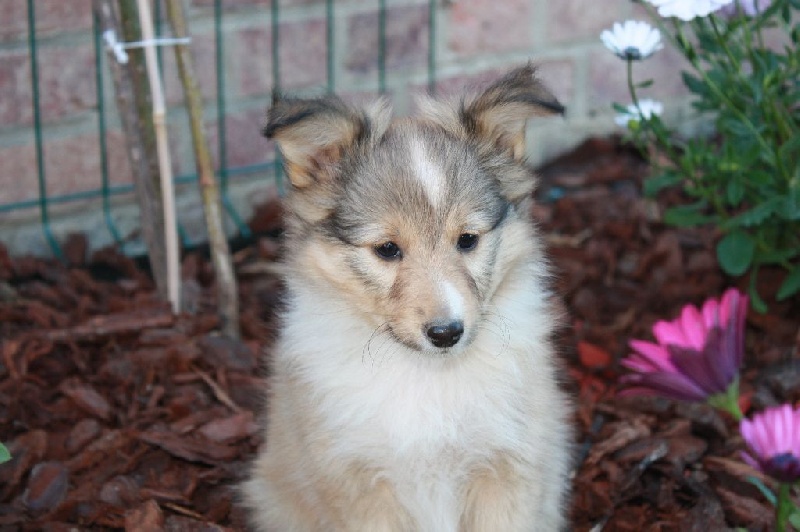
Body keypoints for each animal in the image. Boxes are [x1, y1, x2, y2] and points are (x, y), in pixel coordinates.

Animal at [242, 64, 574, 531]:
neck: (425, 375)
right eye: (387, 249)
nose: (446, 333)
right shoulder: (360, 487)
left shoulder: (508, 469)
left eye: (467, 240)